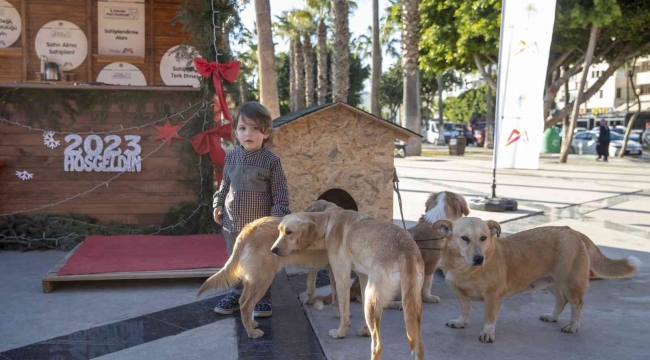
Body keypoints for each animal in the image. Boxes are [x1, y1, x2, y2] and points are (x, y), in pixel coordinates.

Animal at [270, 210, 422, 360]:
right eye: (279, 231)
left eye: (289, 232)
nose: (273, 250)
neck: (328, 223)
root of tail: (405, 249)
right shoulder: (363, 278)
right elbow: (360, 307)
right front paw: (365, 331)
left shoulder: (342, 279)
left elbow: (343, 311)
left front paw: (341, 332)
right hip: (407, 305)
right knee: (419, 345)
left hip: (374, 300)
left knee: (378, 346)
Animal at [432, 217, 640, 344]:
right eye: (464, 238)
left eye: (483, 238)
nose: (478, 258)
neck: (465, 268)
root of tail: (573, 231)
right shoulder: (461, 294)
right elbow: (465, 310)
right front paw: (461, 322)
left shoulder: (492, 297)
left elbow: (489, 318)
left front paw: (487, 333)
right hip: (551, 282)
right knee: (561, 300)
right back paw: (552, 316)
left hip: (570, 283)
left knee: (577, 304)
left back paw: (573, 326)